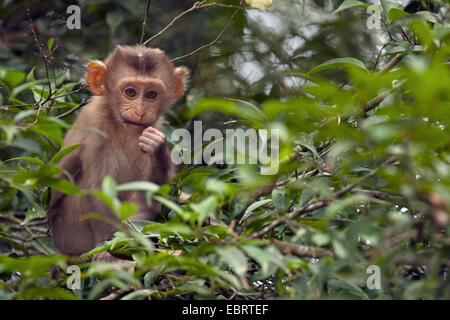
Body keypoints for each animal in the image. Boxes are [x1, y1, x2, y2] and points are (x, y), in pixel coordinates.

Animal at [46, 45, 185, 260]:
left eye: (151, 95)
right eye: (130, 92)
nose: (140, 112)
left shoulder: (155, 125)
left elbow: (148, 194)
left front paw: (157, 149)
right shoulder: (95, 123)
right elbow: (98, 188)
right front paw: (108, 250)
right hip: (70, 234)